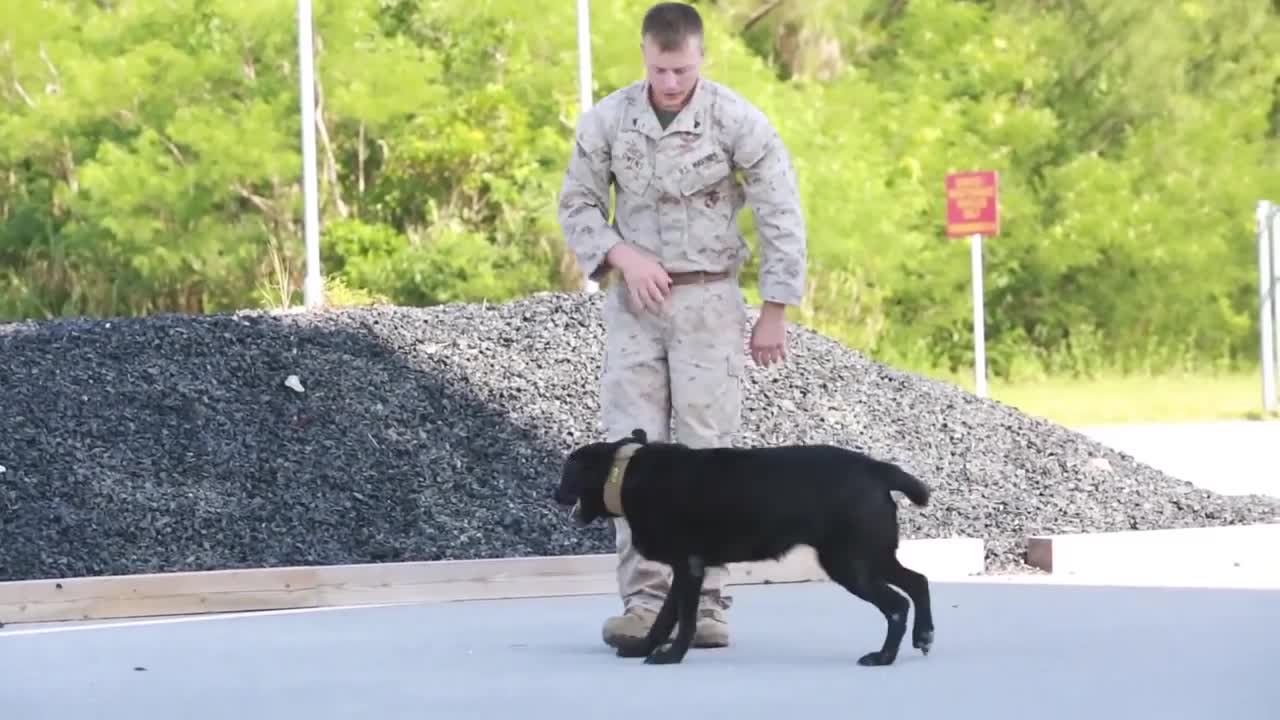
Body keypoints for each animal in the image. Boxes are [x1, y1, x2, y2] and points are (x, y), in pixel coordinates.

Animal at [555, 422, 936, 666]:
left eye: (566, 474)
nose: (556, 494)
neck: (625, 473)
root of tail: (877, 468)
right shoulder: (683, 570)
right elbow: (664, 618)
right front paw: (645, 647)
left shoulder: (689, 566)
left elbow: (685, 621)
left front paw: (672, 657)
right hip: (871, 555)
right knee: (918, 581)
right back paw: (923, 635)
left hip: (849, 563)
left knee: (898, 604)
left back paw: (883, 657)